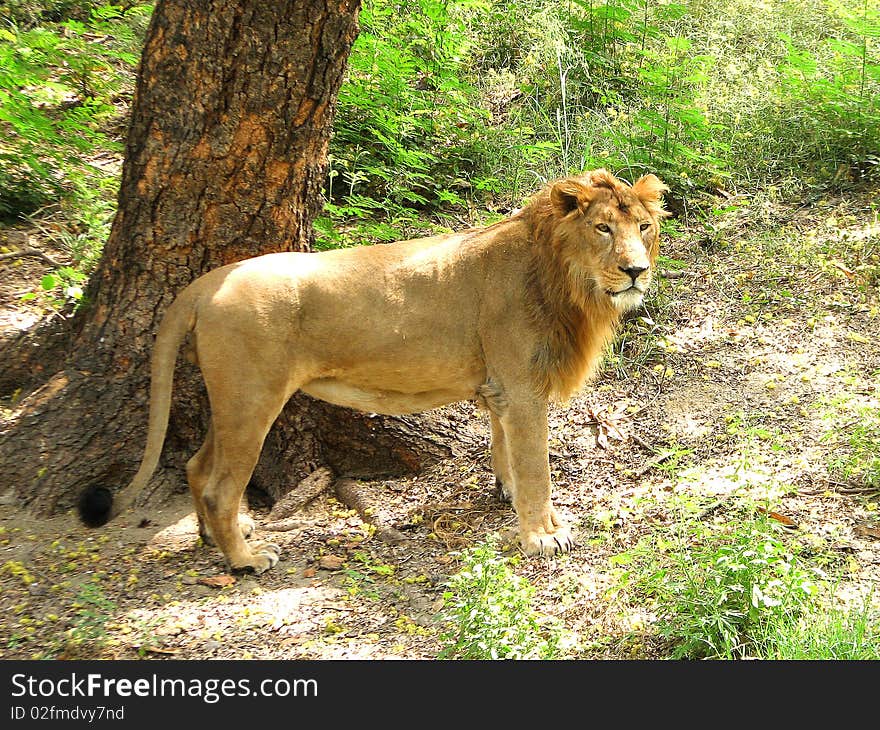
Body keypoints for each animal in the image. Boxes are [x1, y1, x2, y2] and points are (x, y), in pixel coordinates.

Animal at [79, 168, 668, 572]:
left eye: (643, 227)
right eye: (602, 229)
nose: (636, 271)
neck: (568, 282)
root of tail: (206, 283)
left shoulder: (500, 387)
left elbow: (503, 448)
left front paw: (505, 491)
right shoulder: (522, 388)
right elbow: (537, 467)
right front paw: (543, 535)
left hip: (228, 400)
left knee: (197, 467)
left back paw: (215, 541)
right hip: (252, 399)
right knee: (222, 485)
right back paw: (245, 559)